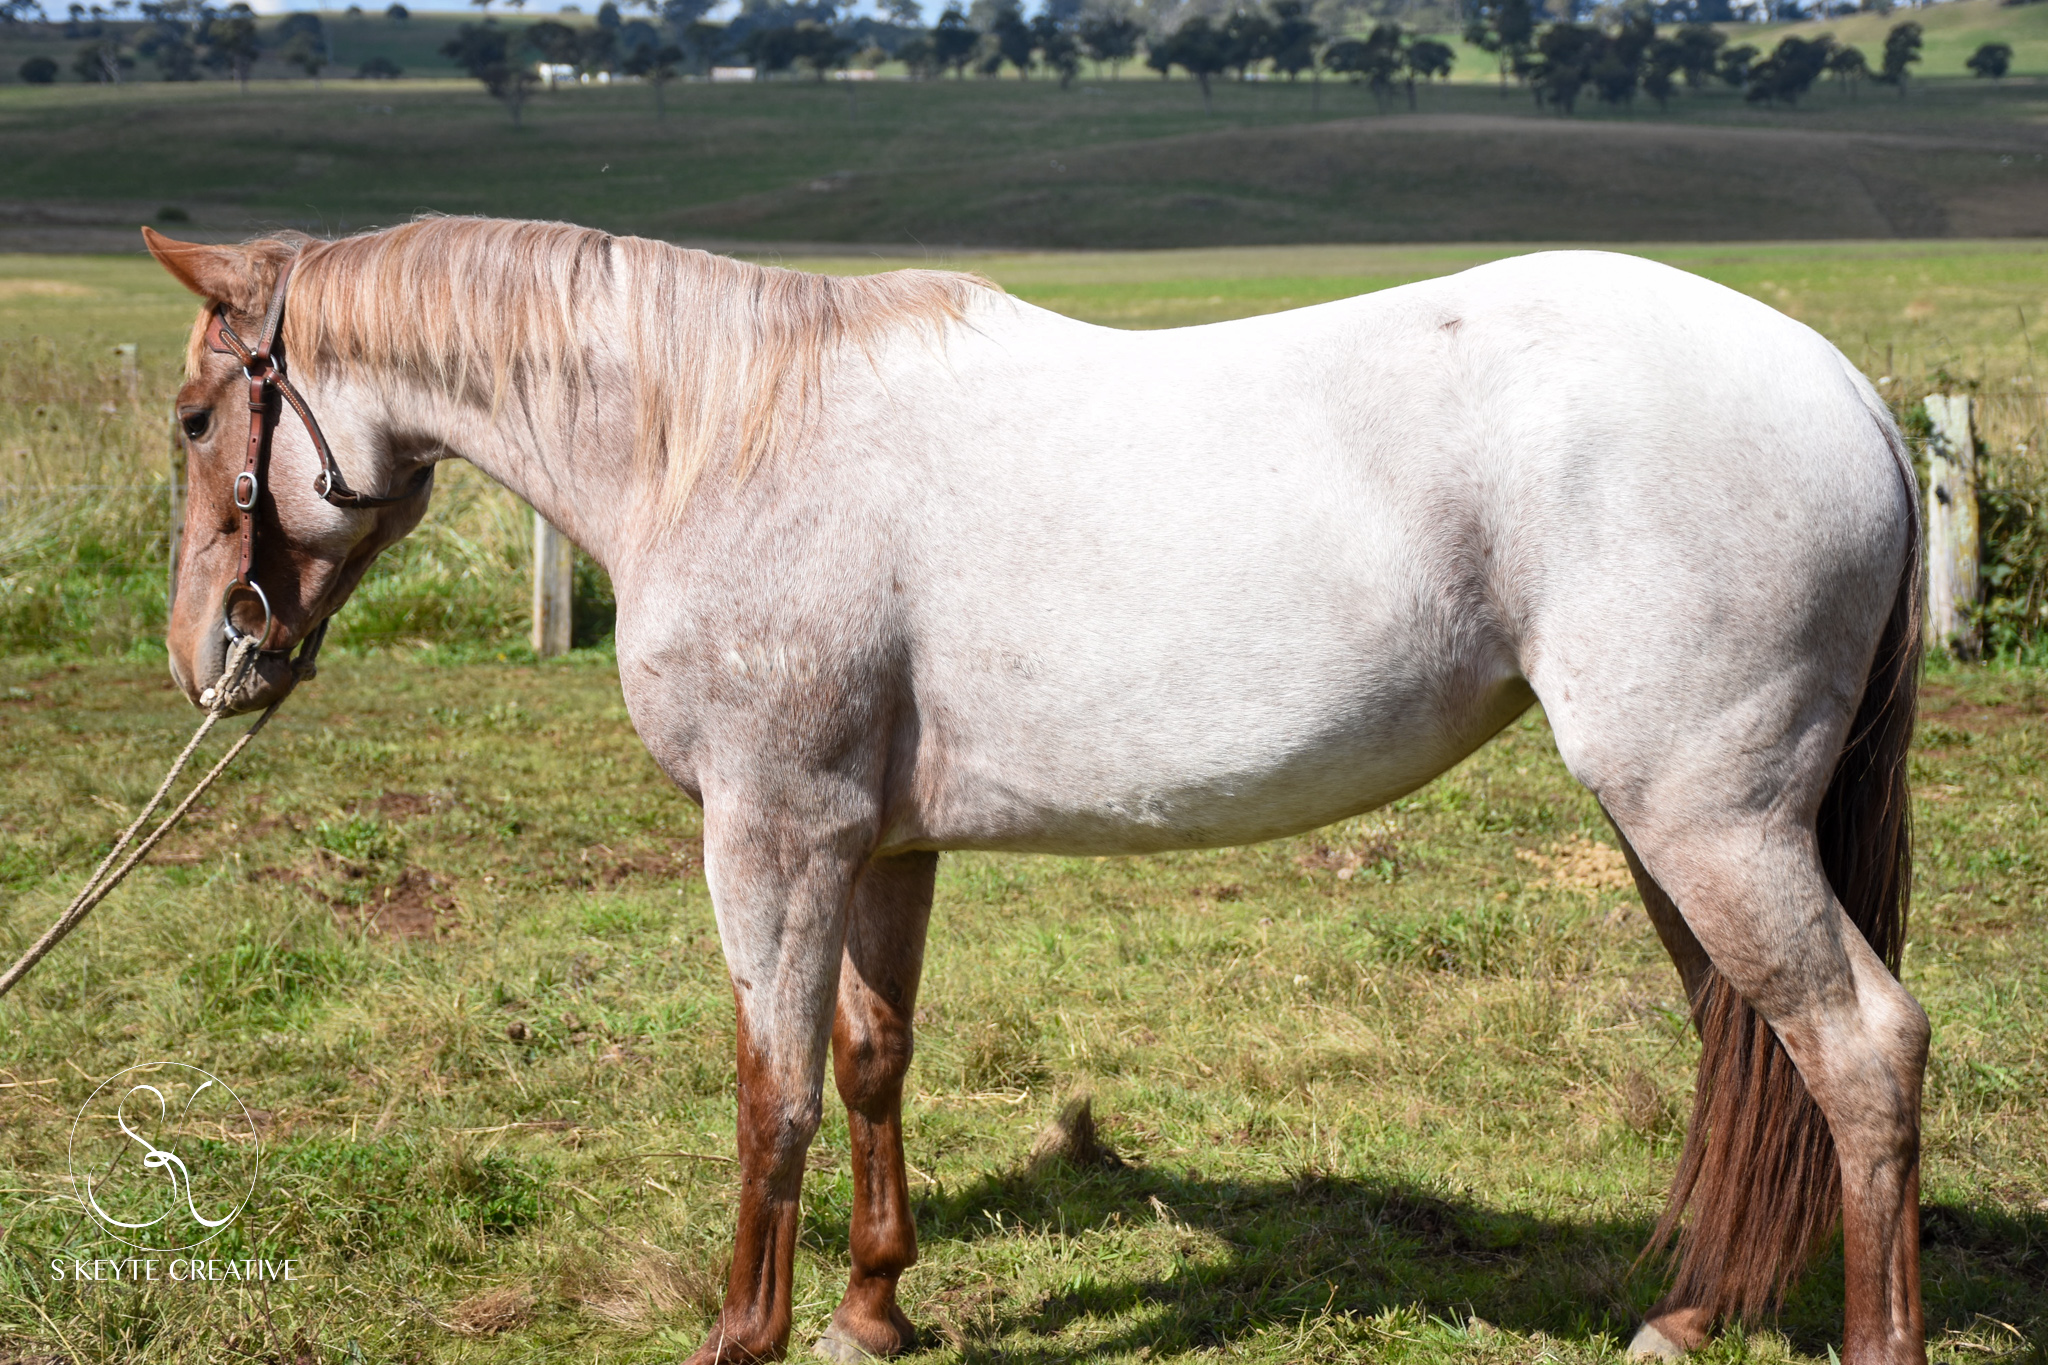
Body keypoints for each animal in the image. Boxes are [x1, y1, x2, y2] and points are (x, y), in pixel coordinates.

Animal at [141, 217, 1926, 1365]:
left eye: (193, 416)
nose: (204, 651)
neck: (720, 437)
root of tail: (1849, 392)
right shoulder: (878, 843)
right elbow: (868, 1060)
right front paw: (870, 1312)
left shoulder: (771, 834)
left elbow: (771, 1093)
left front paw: (746, 1332)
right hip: (1676, 828)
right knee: (1750, 1050)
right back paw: (1684, 1316)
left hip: (1706, 820)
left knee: (1858, 1050)